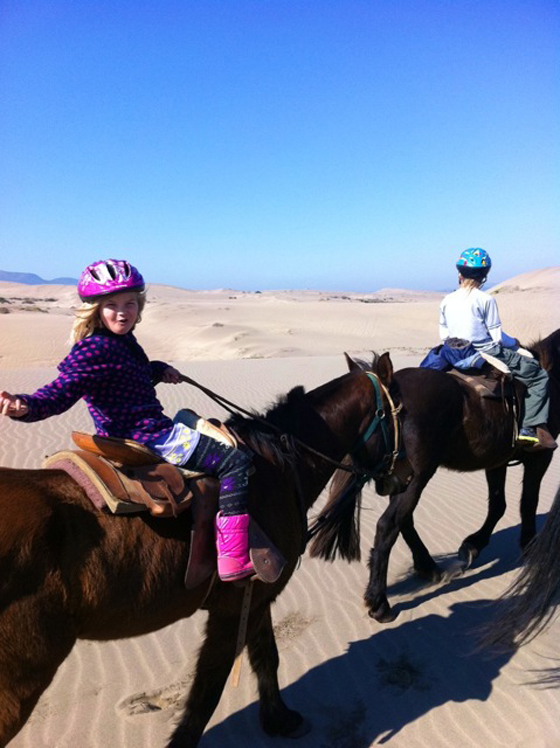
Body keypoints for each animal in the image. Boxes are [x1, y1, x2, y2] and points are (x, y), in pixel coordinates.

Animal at [0, 352, 412, 748]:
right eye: (402, 414)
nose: (407, 474)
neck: (278, 469)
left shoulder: (256, 595)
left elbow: (267, 657)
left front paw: (279, 719)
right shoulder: (230, 609)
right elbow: (206, 694)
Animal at [310, 330, 560, 624]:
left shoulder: (496, 460)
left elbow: (498, 505)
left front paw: (474, 544)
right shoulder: (541, 456)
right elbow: (527, 503)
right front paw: (529, 548)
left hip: (400, 475)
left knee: (403, 521)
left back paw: (428, 567)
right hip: (418, 475)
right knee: (388, 525)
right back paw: (379, 601)